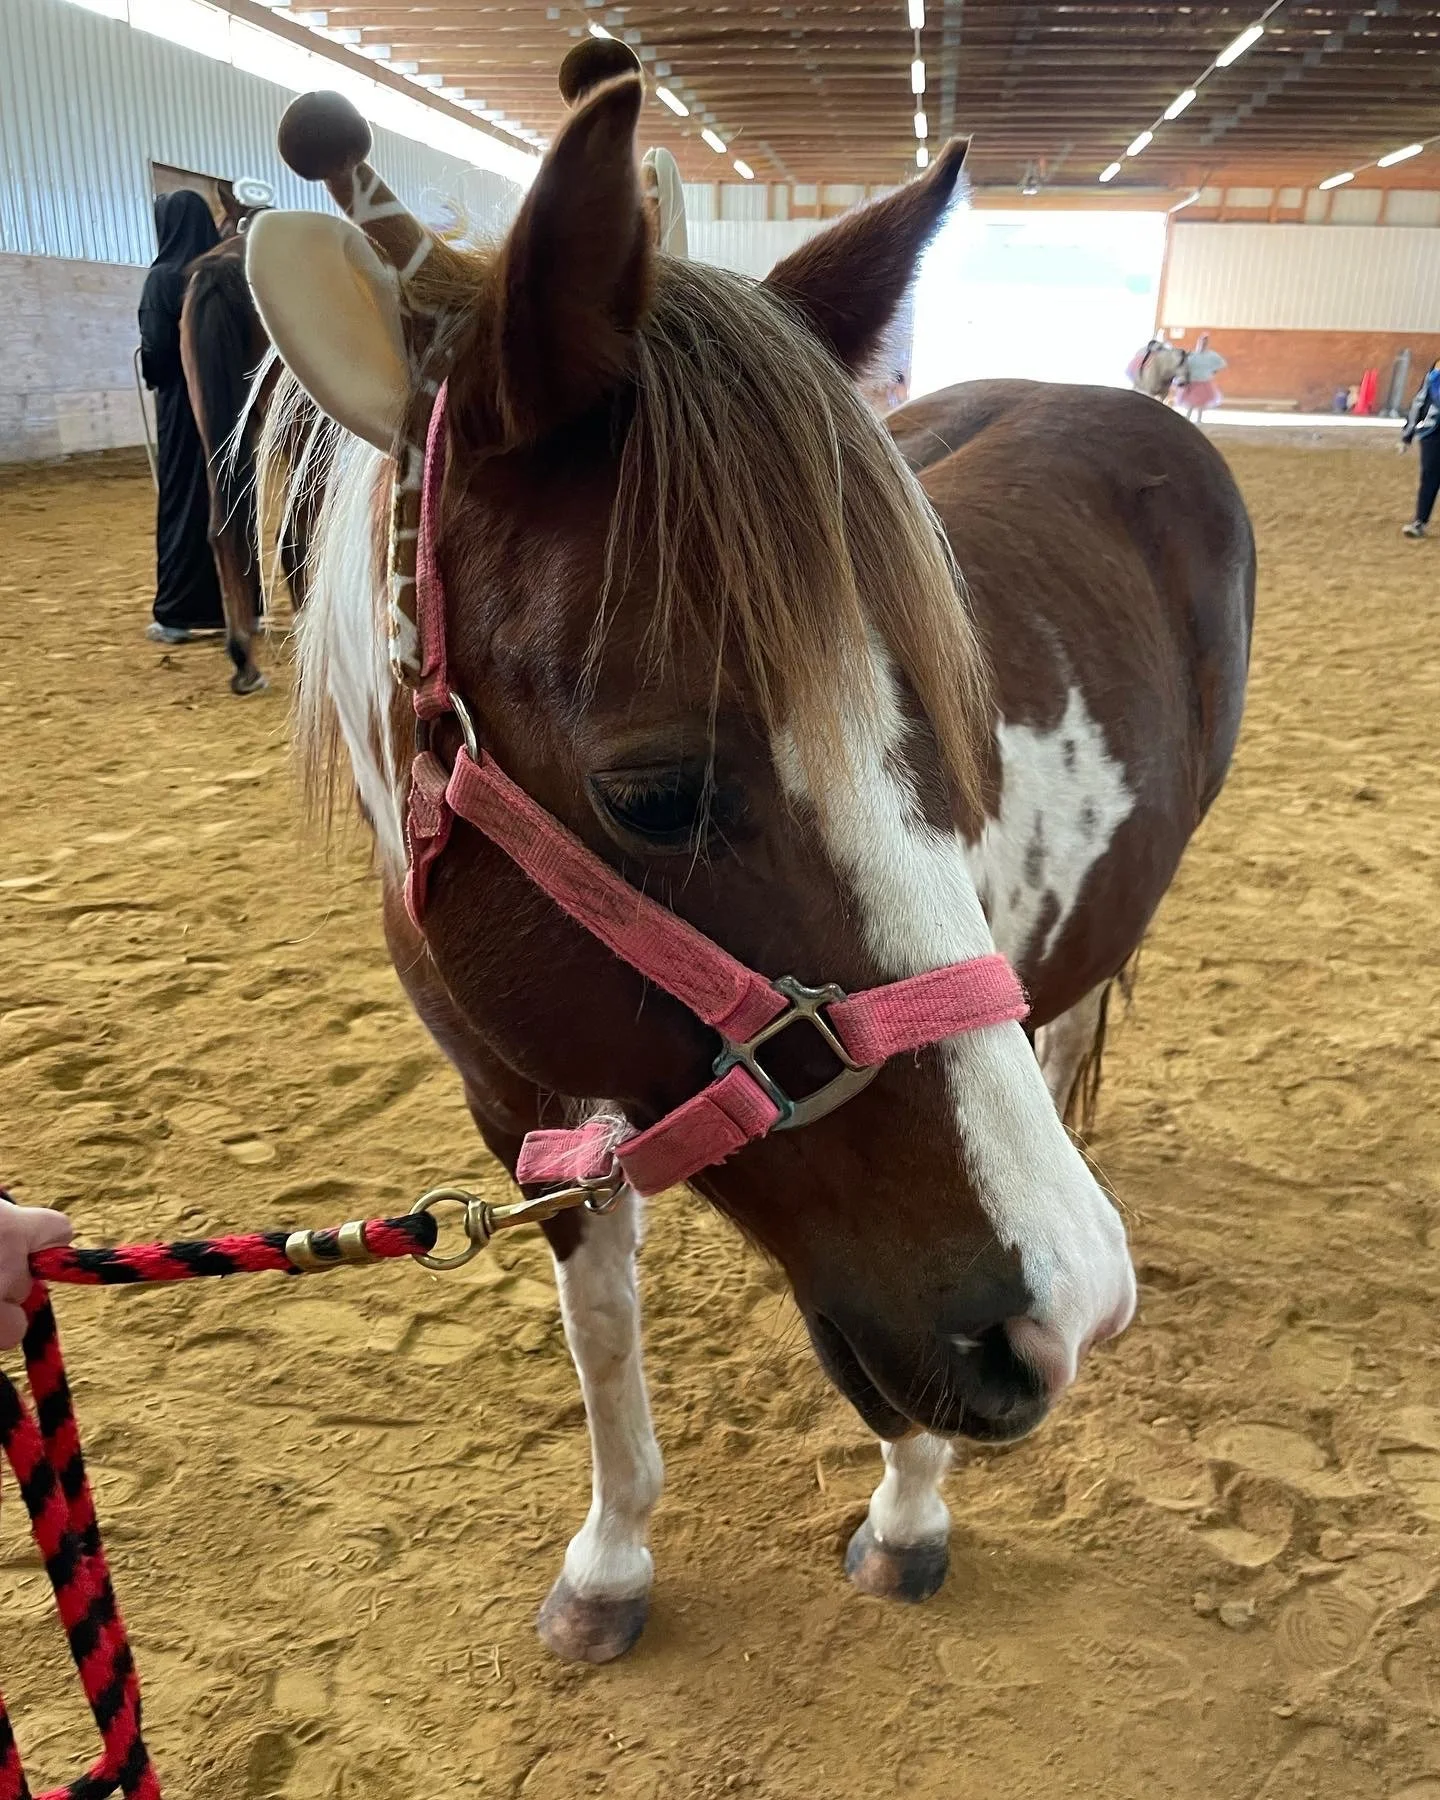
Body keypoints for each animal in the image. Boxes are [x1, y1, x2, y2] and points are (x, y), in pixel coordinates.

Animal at [246, 66, 1253, 1665]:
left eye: (951, 721)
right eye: (652, 792)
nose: (1070, 1304)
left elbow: (895, 1394)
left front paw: (909, 1515)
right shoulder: (526, 1117)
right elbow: (603, 1347)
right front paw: (610, 1562)